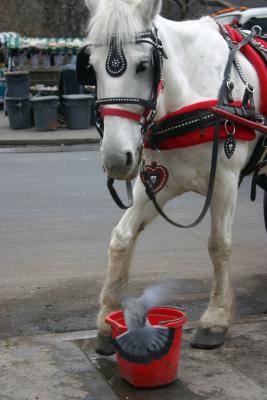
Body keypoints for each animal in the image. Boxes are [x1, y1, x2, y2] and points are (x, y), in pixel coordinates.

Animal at [85, 0, 266, 354]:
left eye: (143, 65)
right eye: (92, 67)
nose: (115, 159)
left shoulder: (225, 181)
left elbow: (219, 245)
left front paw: (215, 318)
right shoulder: (157, 182)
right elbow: (122, 238)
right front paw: (108, 317)